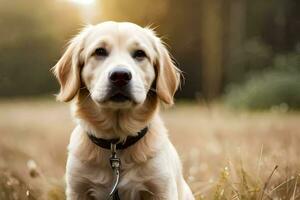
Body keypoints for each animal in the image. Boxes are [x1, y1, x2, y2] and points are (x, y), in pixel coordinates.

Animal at [52, 21, 195, 199]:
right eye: (99, 51)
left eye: (140, 54)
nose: (120, 75)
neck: (116, 144)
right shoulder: (77, 188)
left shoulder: (162, 188)